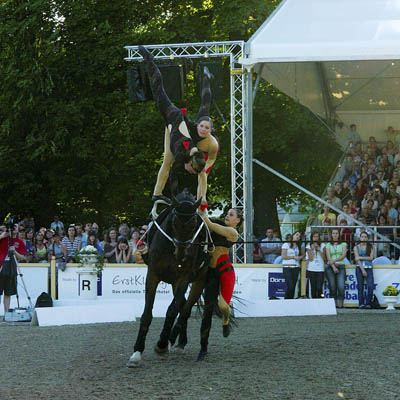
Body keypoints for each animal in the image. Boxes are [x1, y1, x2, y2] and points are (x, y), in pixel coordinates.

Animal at [128, 189, 209, 368]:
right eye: (174, 222)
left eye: (194, 224)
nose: (181, 254)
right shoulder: (152, 275)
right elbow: (147, 314)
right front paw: (137, 352)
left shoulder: (183, 278)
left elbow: (172, 310)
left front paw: (162, 345)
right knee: (182, 305)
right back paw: (180, 342)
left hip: (198, 281)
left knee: (184, 309)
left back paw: (173, 341)